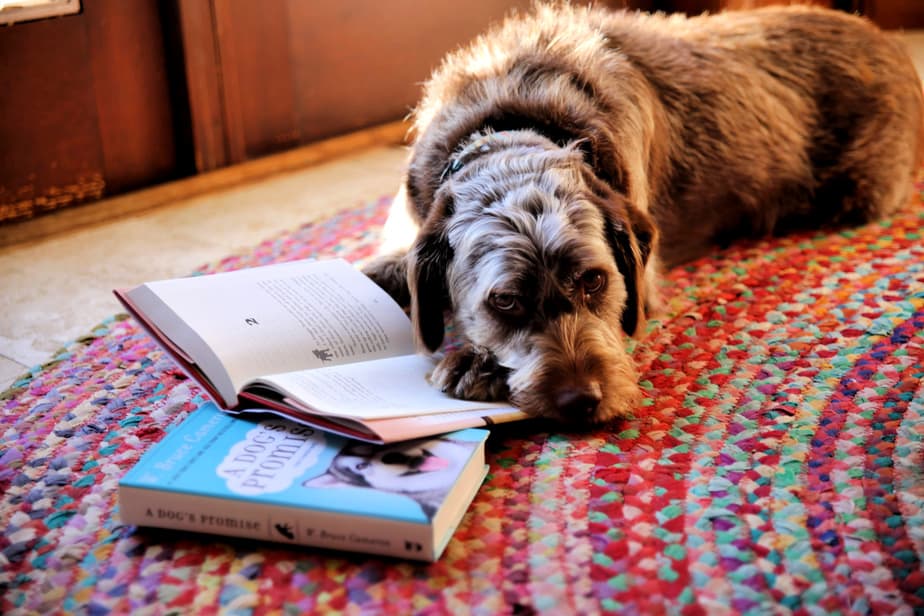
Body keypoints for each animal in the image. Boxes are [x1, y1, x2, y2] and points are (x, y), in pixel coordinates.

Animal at [362, 3, 924, 428]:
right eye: (504, 301)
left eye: (594, 280)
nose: (582, 402)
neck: (512, 120)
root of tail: (888, 40)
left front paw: (470, 361)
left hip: (861, 190)